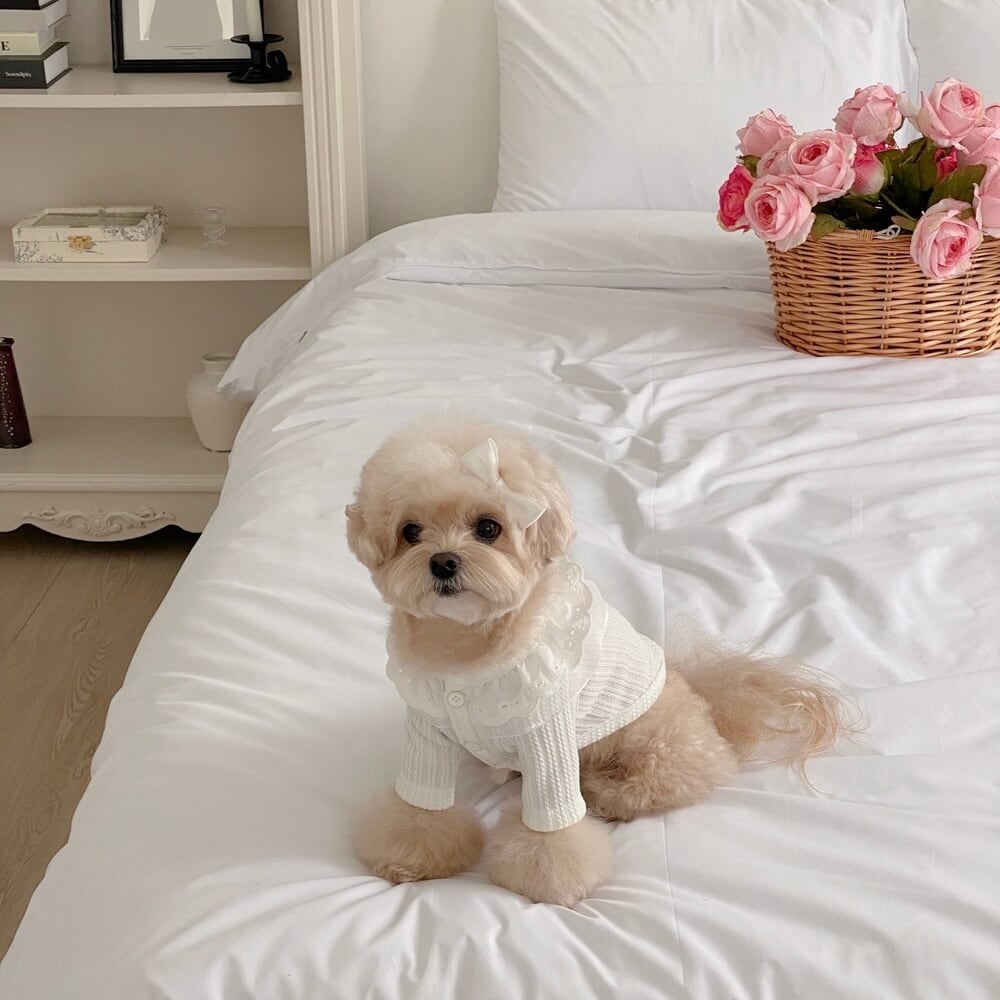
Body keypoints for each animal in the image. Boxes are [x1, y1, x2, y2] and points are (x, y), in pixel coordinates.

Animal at [346, 416, 848, 906]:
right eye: (410, 531)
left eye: (488, 528)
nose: (443, 562)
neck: (465, 645)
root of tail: (702, 694)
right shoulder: (427, 727)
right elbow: (419, 806)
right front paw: (411, 857)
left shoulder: (548, 733)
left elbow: (554, 827)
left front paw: (548, 878)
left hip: (654, 742)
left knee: (677, 779)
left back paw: (604, 792)